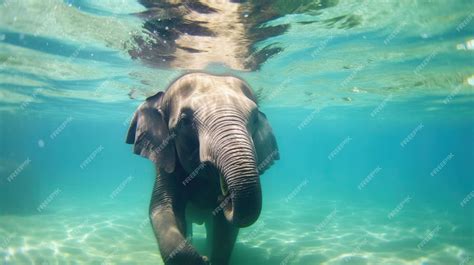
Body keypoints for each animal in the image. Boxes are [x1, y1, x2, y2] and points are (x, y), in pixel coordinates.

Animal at [126, 72, 280, 264]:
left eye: (255, 119)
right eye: (184, 122)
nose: (224, 195)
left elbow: (225, 229)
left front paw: (211, 258)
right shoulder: (166, 166)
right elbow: (162, 209)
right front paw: (202, 259)